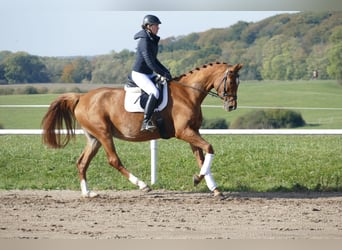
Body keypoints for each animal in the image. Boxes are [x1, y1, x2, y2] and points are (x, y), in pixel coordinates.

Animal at [40, 61, 243, 198]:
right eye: (231, 82)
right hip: (104, 134)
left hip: (94, 138)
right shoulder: (184, 132)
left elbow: (201, 158)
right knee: (113, 160)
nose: (231, 106)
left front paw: (213, 188)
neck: (188, 93)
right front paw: (199, 179)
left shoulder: (193, 131)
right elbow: (209, 148)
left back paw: (88, 193)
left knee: (82, 163)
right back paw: (143, 185)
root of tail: (82, 97)